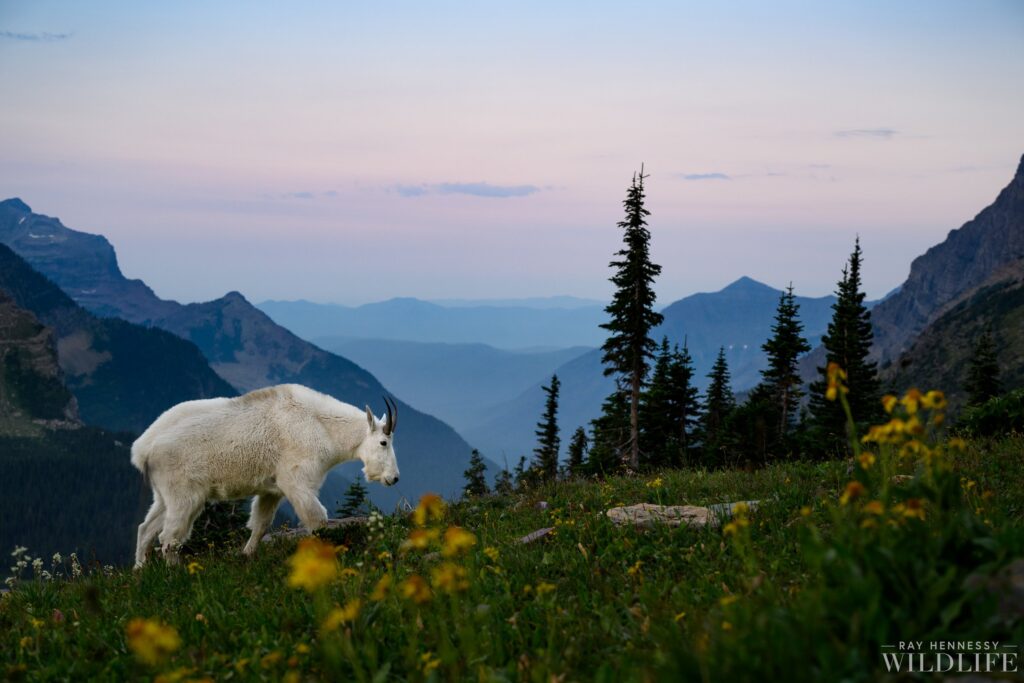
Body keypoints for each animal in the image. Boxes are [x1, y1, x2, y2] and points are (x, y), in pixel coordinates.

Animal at [130, 384, 400, 567]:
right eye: (384, 442)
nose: (394, 478)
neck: (323, 427)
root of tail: (143, 449)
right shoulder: (296, 481)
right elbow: (316, 520)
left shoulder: (272, 490)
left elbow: (260, 525)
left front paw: (246, 556)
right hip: (184, 493)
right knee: (169, 537)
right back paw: (174, 571)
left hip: (164, 493)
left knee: (146, 528)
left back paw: (140, 571)